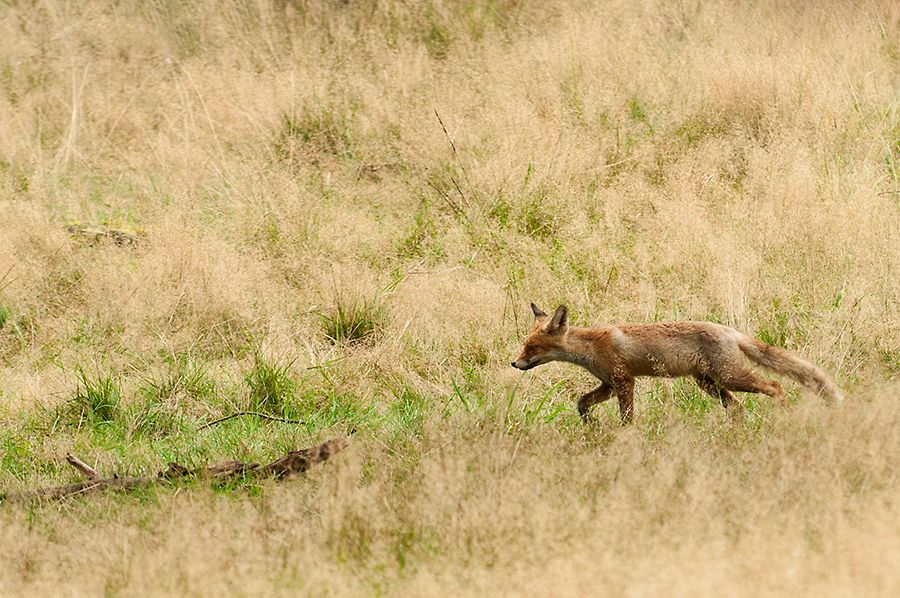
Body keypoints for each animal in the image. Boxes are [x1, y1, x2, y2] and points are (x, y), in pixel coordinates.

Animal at [512, 304, 844, 426]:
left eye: (532, 347)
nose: (515, 363)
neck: (591, 347)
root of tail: (730, 331)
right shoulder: (609, 384)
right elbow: (581, 402)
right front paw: (589, 425)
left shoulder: (624, 381)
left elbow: (627, 418)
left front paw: (625, 437)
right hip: (710, 384)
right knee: (738, 407)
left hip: (731, 377)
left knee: (774, 385)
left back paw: (785, 415)